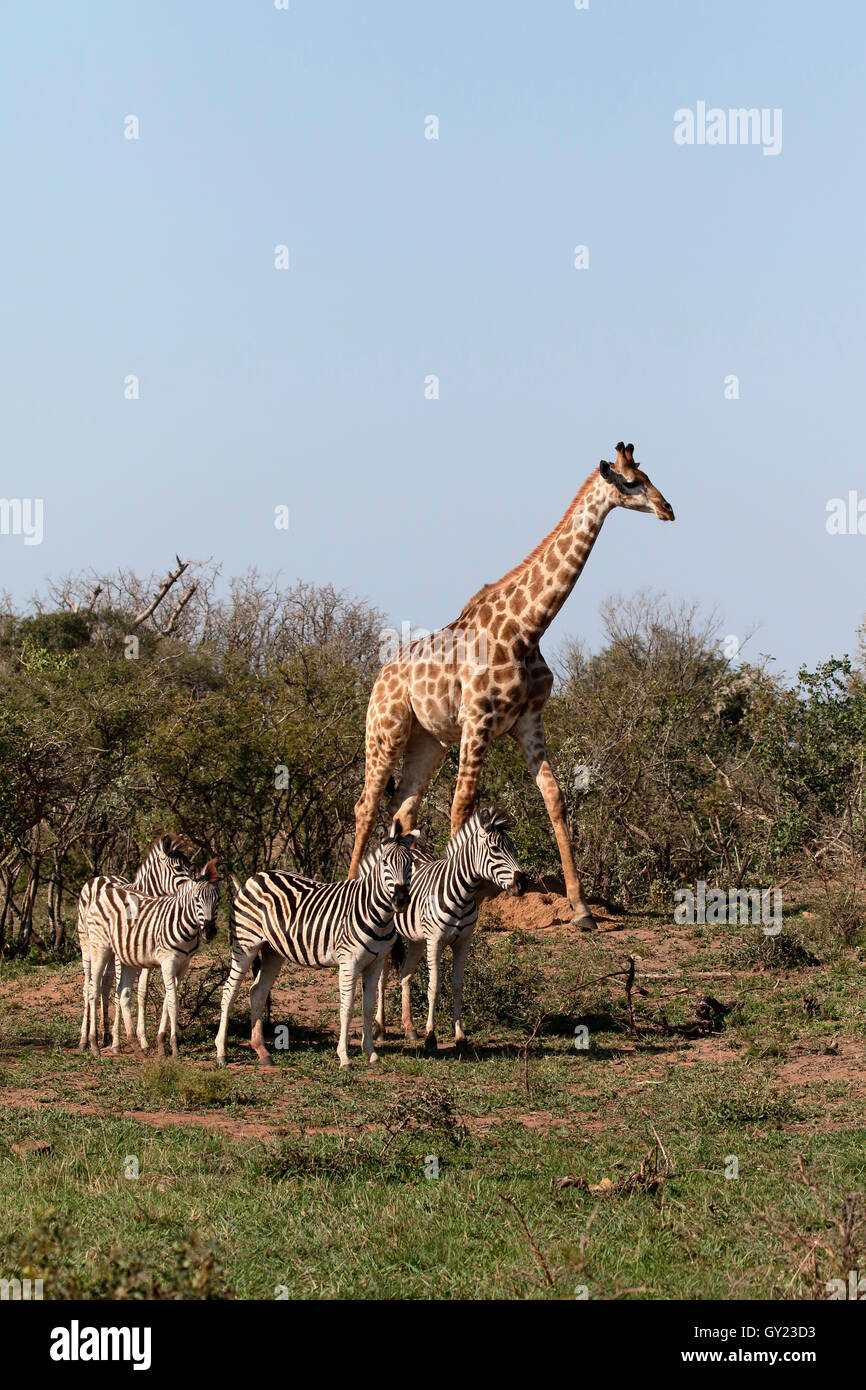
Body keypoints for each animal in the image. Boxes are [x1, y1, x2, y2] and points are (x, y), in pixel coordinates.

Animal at [76, 828, 194, 1045]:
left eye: (190, 867)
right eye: (178, 869)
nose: (193, 888)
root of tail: (100, 876)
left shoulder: (144, 956)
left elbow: (141, 993)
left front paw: (142, 1037)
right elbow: (120, 992)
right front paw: (119, 1042)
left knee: (104, 984)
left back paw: (105, 1034)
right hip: (87, 944)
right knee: (88, 985)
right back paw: (84, 1038)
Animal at [83, 850, 219, 1056]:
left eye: (218, 900)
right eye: (197, 899)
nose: (209, 932)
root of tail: (109, 890)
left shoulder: (183, 964)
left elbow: (167, 1002)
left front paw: (161, 1043)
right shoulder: (167, 962)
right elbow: (173, 1002)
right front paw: (174, 1048)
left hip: (126, 957)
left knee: (122, 992)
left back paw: (135, 1045)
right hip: (99, 947)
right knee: (93, 989)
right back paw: (93, 1044)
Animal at [216, 817, 419, 1067]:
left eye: (410, 864)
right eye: (385, 863)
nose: (401, 900)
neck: (378, 915)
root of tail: (254, 877)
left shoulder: (376, 962)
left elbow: (368, 1007)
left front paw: (371, 1053)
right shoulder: (348, 961)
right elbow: (347, 1008)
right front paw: (344, 1058)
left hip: (273, 951)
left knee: (257, 992)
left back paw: (262, 1051)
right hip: (245, 945)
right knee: (229, 991)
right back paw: (221, 1053)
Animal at [348, 439, 675, 928]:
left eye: (649, 476)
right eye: (633, 481)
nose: (667, 508)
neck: (526, 629)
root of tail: (380, 675)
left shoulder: (529, 721)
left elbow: (555, 799)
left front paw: (581, 908)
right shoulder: (478, 719)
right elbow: (463, 805)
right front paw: (467, 899)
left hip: (428, 741)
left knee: (403, 807)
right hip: (385, 730)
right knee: (366, 805)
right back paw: (349, 888)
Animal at [369, 811, 525, 1045]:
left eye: (513, 847)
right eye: (495, 849)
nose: (522, 883)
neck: (463, 894)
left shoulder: (463, 942)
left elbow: (458, 985)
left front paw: (459, 1034)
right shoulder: (435, 941)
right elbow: (434, 987)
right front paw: (431, 1036)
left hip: (416, 939)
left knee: (405, 975)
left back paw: (409, 1027)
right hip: (387, 933)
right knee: (381, 979)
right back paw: (380, 1029)